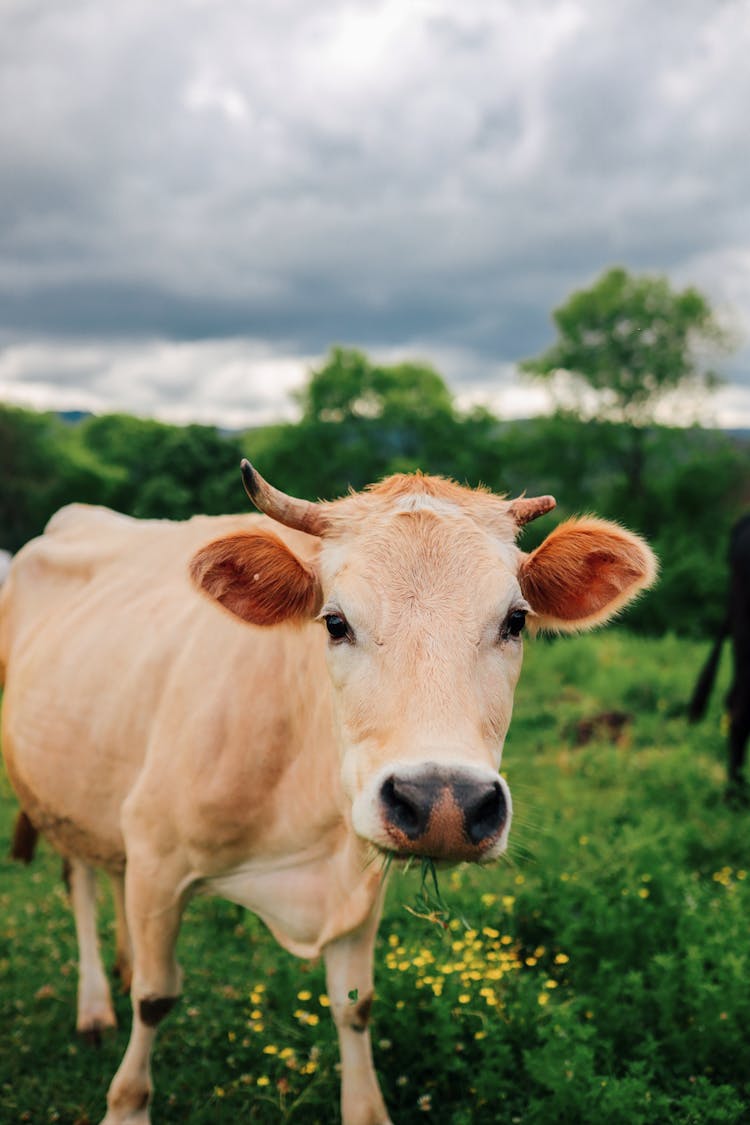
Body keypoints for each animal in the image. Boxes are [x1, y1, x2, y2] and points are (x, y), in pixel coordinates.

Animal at [0, 463, 656, 1125]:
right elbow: (155, 999)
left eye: (515, 621)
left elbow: (354, 1004)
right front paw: (126, 1102)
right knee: (79, 879)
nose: (443, 801)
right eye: (335, 622)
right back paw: (94, 1005)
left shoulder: (358, 884)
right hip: (51, 792)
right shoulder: (159, 860)